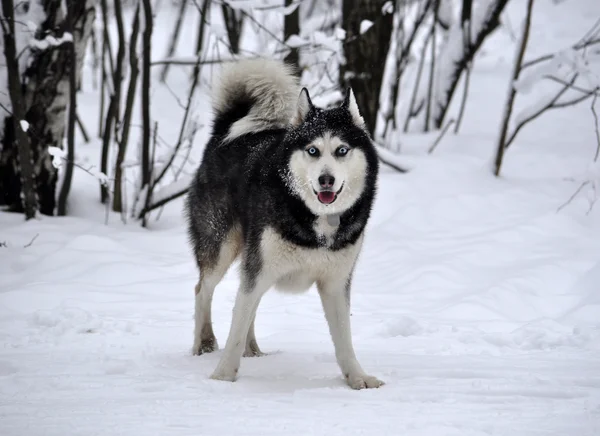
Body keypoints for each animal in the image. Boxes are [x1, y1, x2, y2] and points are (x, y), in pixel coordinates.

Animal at [188, 58, 382, 388]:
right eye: (313, 150)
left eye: (341, 150)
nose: (326, 179)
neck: (317, 220)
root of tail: (223, 132)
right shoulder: (258, 270)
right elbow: (236, 327)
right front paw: (223, 377)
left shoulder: (335, 283)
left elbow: (344, 339)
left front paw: (356, 378)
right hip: (221, 247)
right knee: (203, 289)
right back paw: (204, 343)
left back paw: (253, 349)